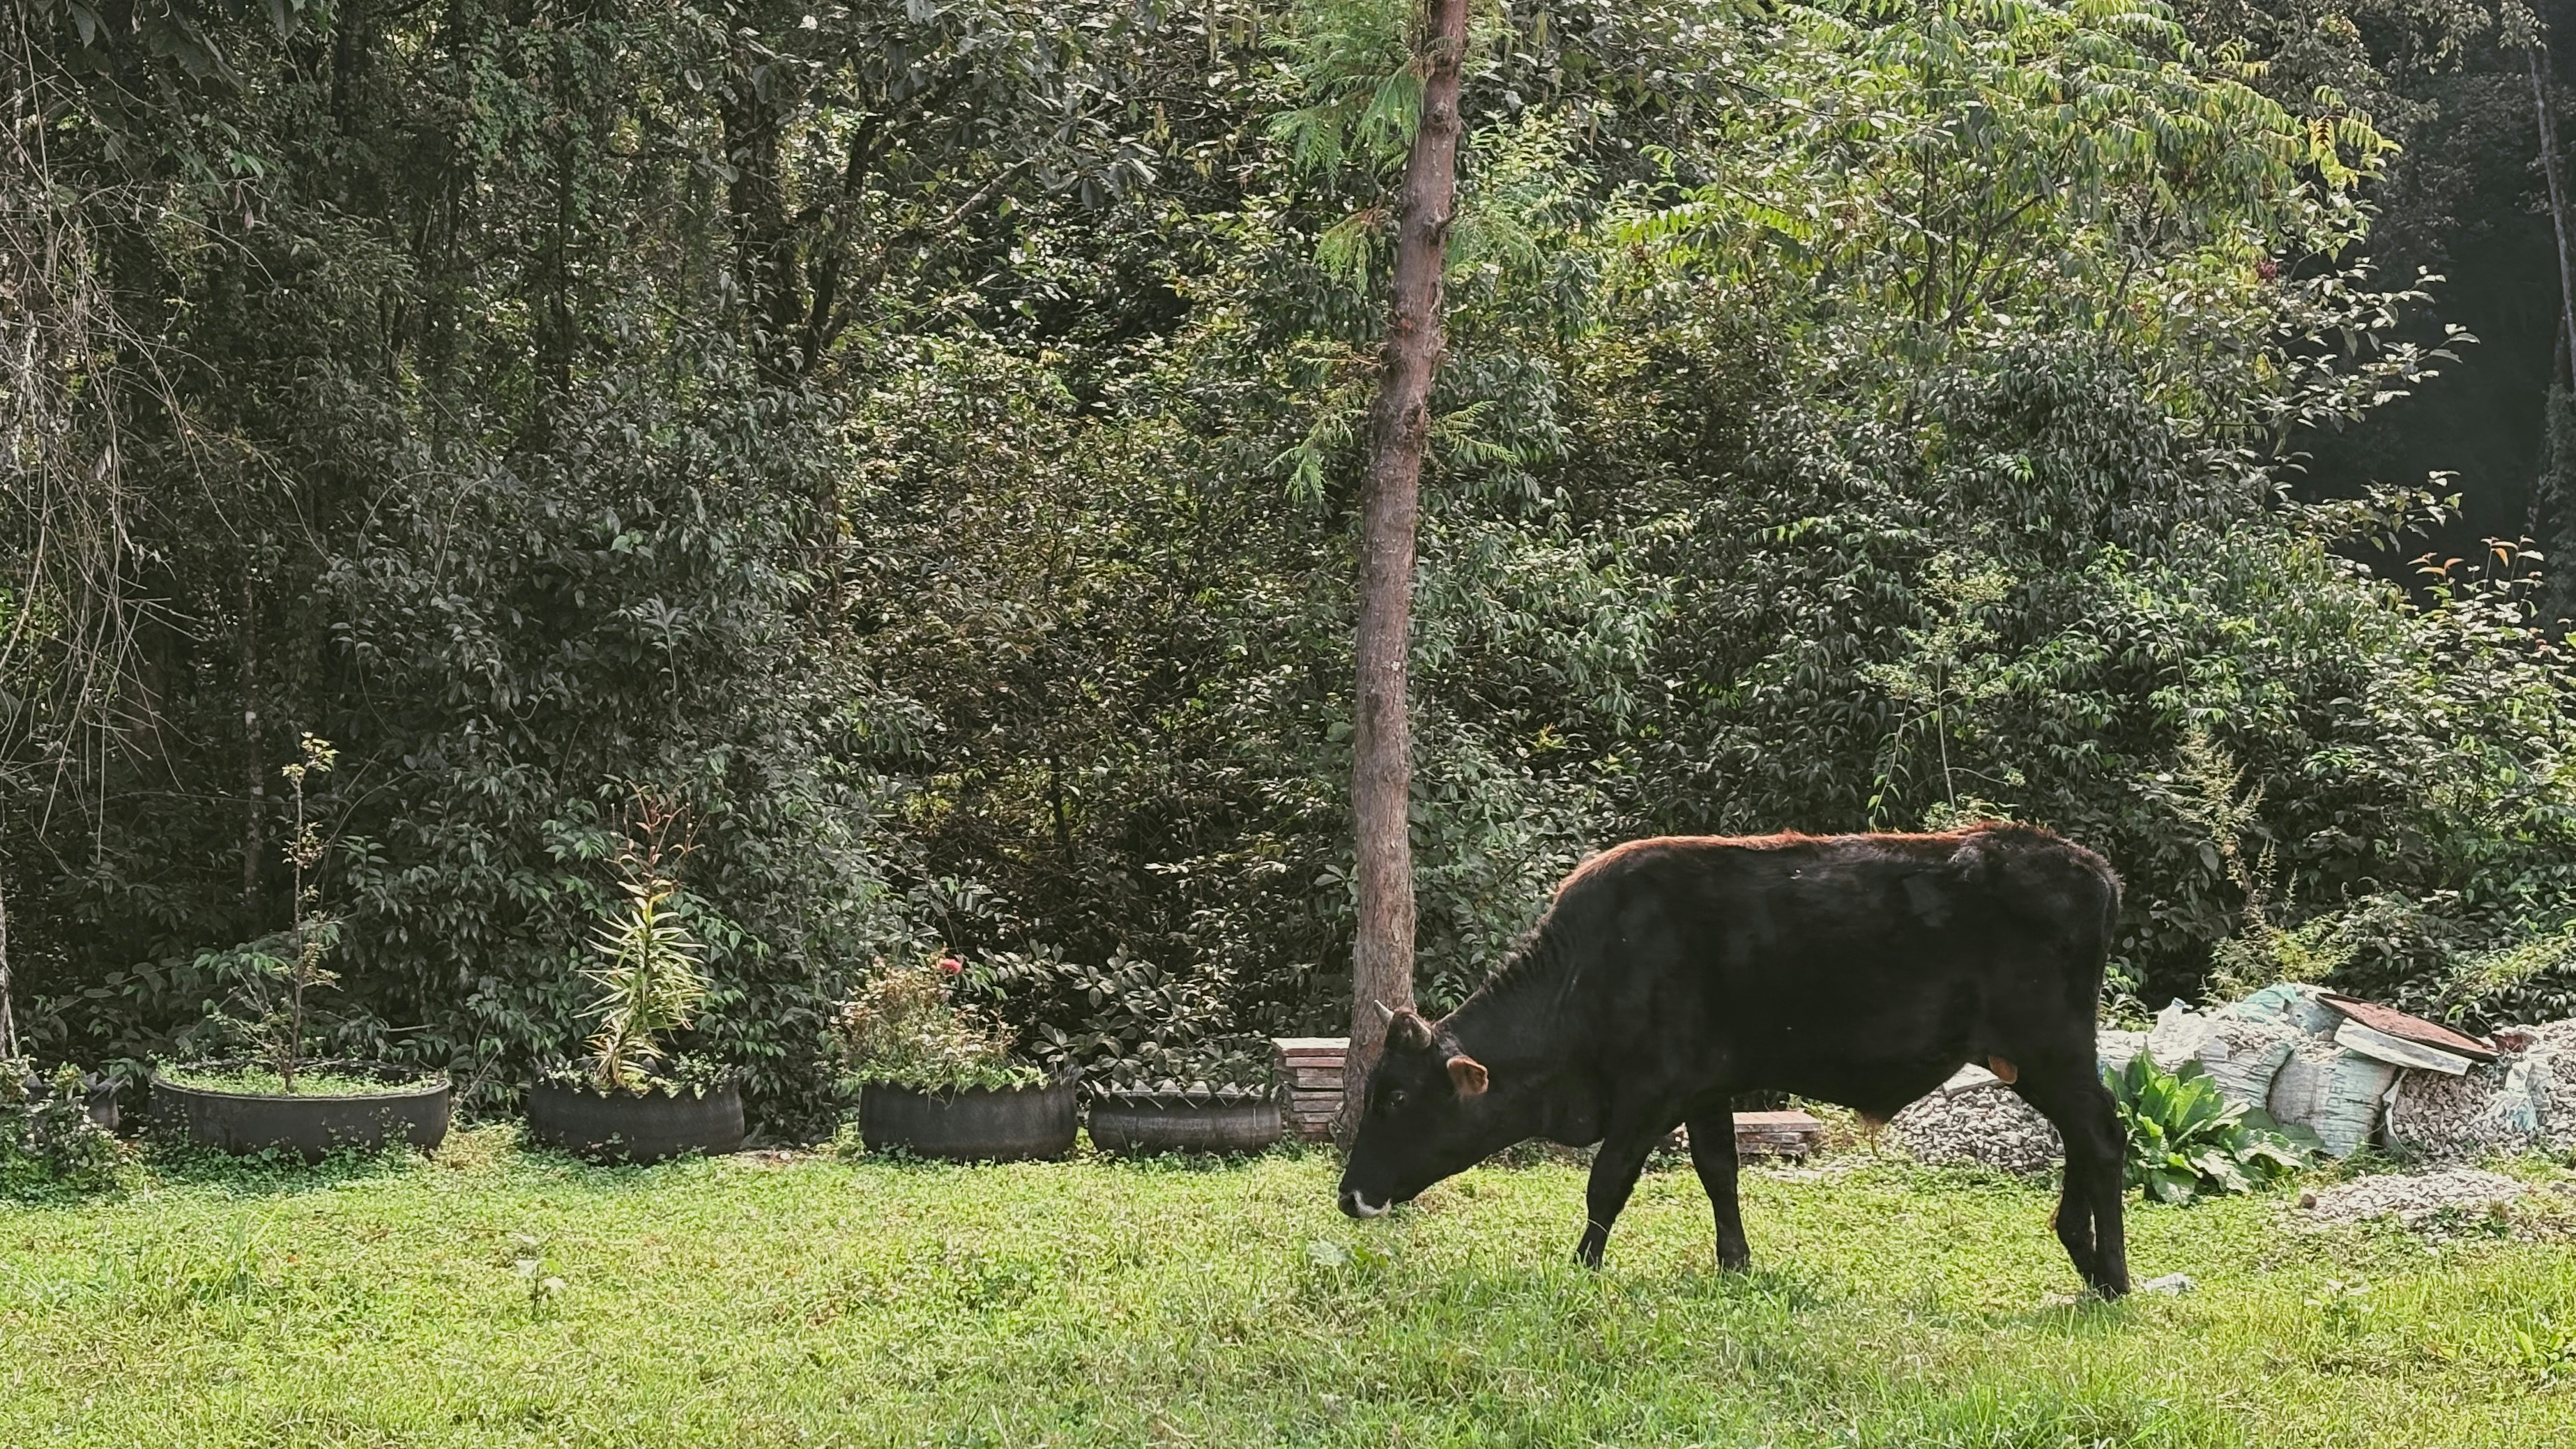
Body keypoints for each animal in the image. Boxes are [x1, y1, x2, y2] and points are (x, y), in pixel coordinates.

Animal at [1337, 824, 2130, 1298]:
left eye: (1397, 1097)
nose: (1349, 1195)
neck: (1592, 967)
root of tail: (2084, 863)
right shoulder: (1705, 1086)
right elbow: (1719, 1170)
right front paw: (1734, 1261)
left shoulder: (1651, 1091)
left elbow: (1606, 1181)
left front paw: (1582, 1265)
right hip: (2037, 1058)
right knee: (2082, 1139)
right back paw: (2085, 1258)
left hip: (2050, 1047)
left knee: (2100, 1135)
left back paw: (2111, 1273)